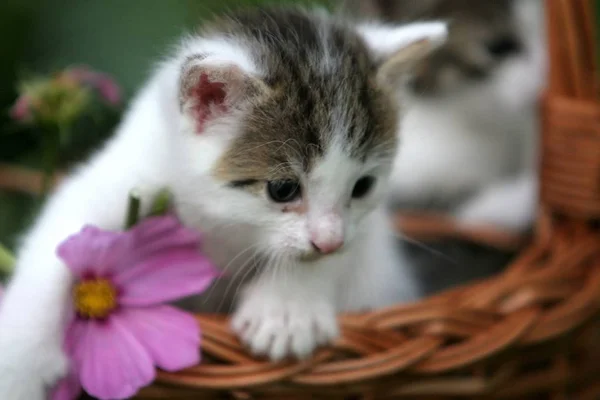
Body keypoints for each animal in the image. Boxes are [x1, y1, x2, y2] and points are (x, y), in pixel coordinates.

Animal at [0, 7, 446, 398]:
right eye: (282, 189)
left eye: (363, 186)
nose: (329, 241)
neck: (226, 224)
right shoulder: (131, 170)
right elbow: (61, 236)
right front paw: (18, 363)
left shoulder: (363, 230)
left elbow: (343, 251)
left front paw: (287, 310)